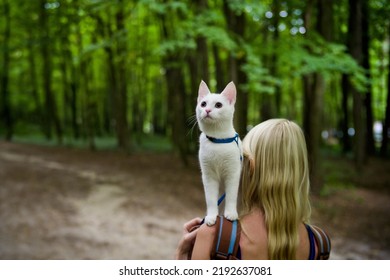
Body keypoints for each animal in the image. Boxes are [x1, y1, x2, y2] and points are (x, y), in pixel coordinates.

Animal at [197, 80, 242, 225]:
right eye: (203, 104)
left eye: (218, 105)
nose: (207, 110)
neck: (217, 140)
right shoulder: (208, 176)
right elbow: (211, 199)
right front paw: (211, 216)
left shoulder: (233, 174)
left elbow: (231, 196)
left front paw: (231, 213)